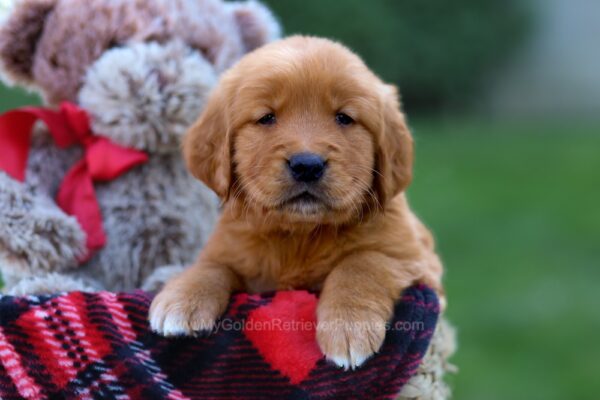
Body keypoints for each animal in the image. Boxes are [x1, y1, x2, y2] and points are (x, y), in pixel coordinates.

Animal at [148, 36, 442, 370]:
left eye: (344, 118)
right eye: (267, 117)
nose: (307, 165)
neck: (301, 234)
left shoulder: (416, 260)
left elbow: (363, 262)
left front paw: (348, 326)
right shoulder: (230, 249)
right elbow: (212, 266)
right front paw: (182, 298)